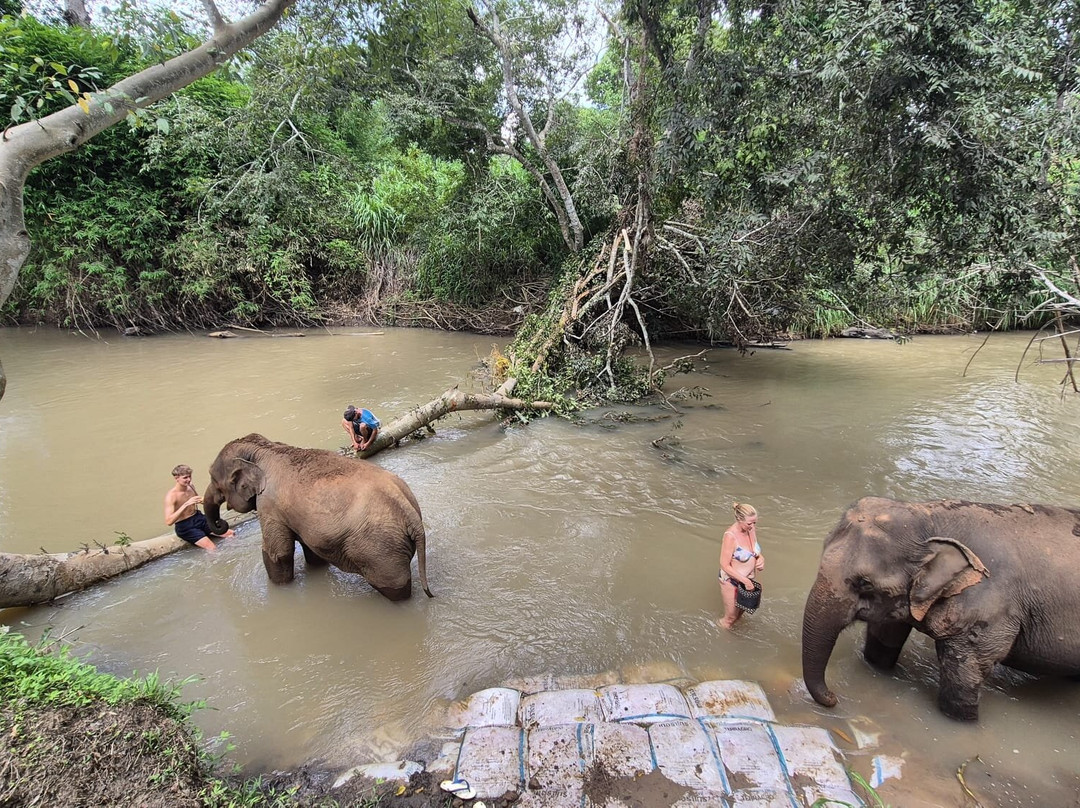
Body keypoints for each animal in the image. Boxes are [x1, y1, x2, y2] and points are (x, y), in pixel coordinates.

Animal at [203, 433, 433, 601]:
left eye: (213, 479)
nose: (222, 523)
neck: (264, 448)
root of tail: (409, 511)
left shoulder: (269, 506)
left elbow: (278, 554)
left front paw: (280, 588)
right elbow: (311, 549)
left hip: (380, 550)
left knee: (395, 588)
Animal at [802, 496, 1080, 721]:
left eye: (864, 583)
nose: (834, 697)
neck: (930, 517)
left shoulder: (988, 608)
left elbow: (966, 673)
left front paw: (963, 722)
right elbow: (883, 641)